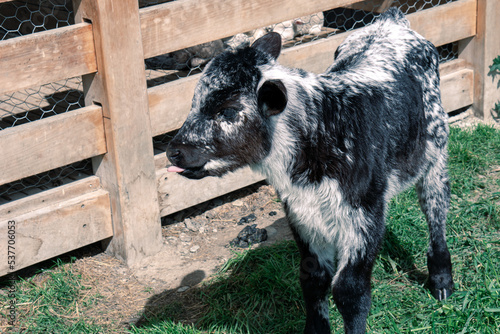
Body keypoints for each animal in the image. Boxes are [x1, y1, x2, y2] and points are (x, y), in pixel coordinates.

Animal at [167, 8, 454, 334]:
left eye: (227, 110)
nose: (174, 151)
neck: (323, 130)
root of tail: (391, 21)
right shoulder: (302, 215)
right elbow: (313, 280)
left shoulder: (364, 213)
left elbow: (350, 289)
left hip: (436, 151)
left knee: (435, 210)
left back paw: (441, 280)